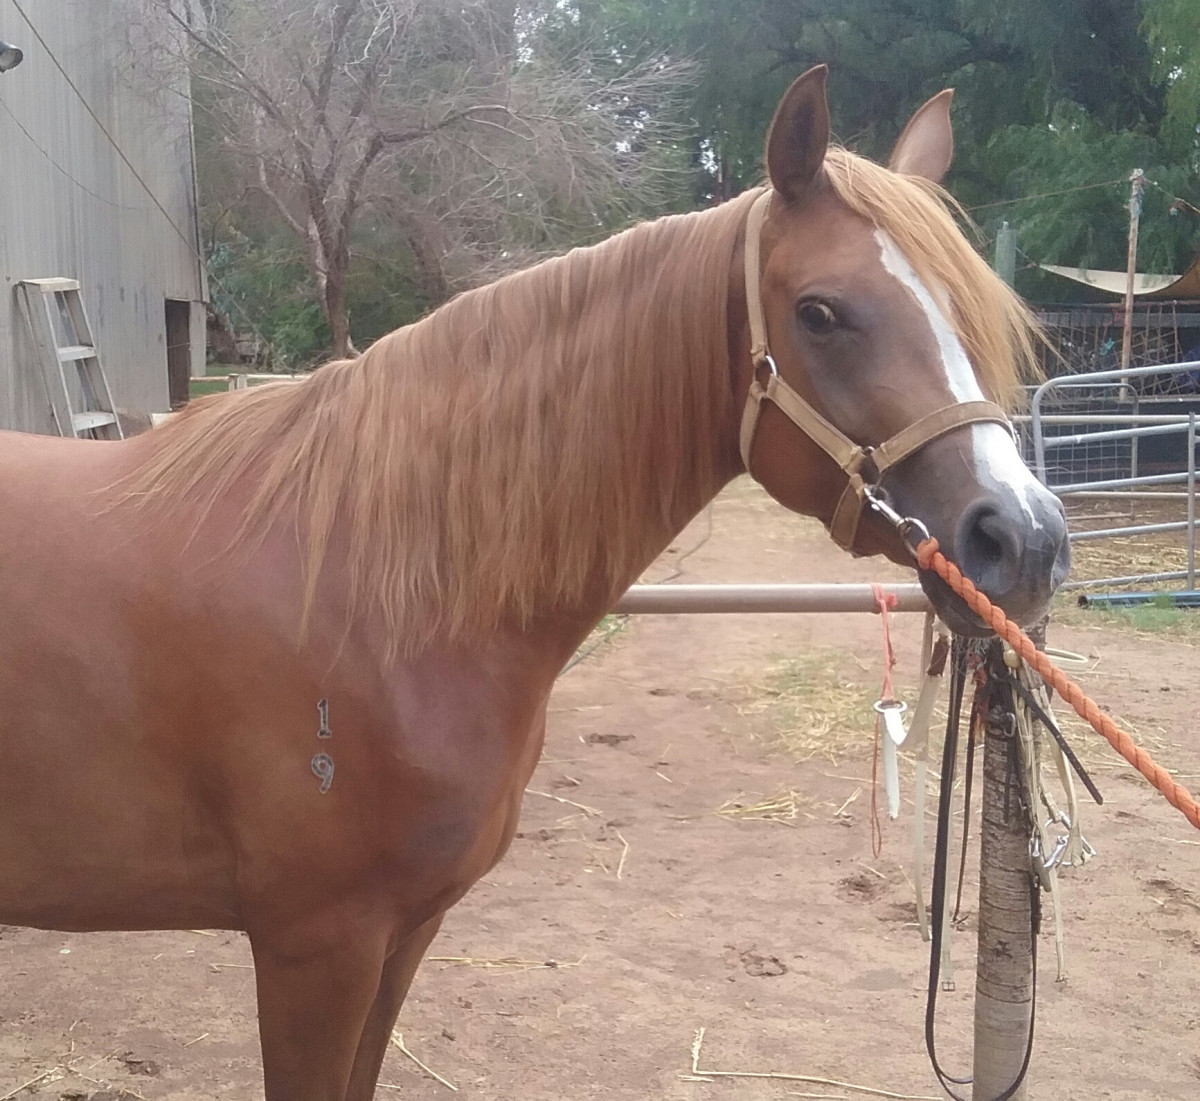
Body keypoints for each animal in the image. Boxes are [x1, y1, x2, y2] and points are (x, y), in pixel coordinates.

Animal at [0, 66, 1068, 1100]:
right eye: (820, 312)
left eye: (971, 308)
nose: (1024, 538)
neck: (370, 586)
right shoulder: (316, 946)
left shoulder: (402, 933)